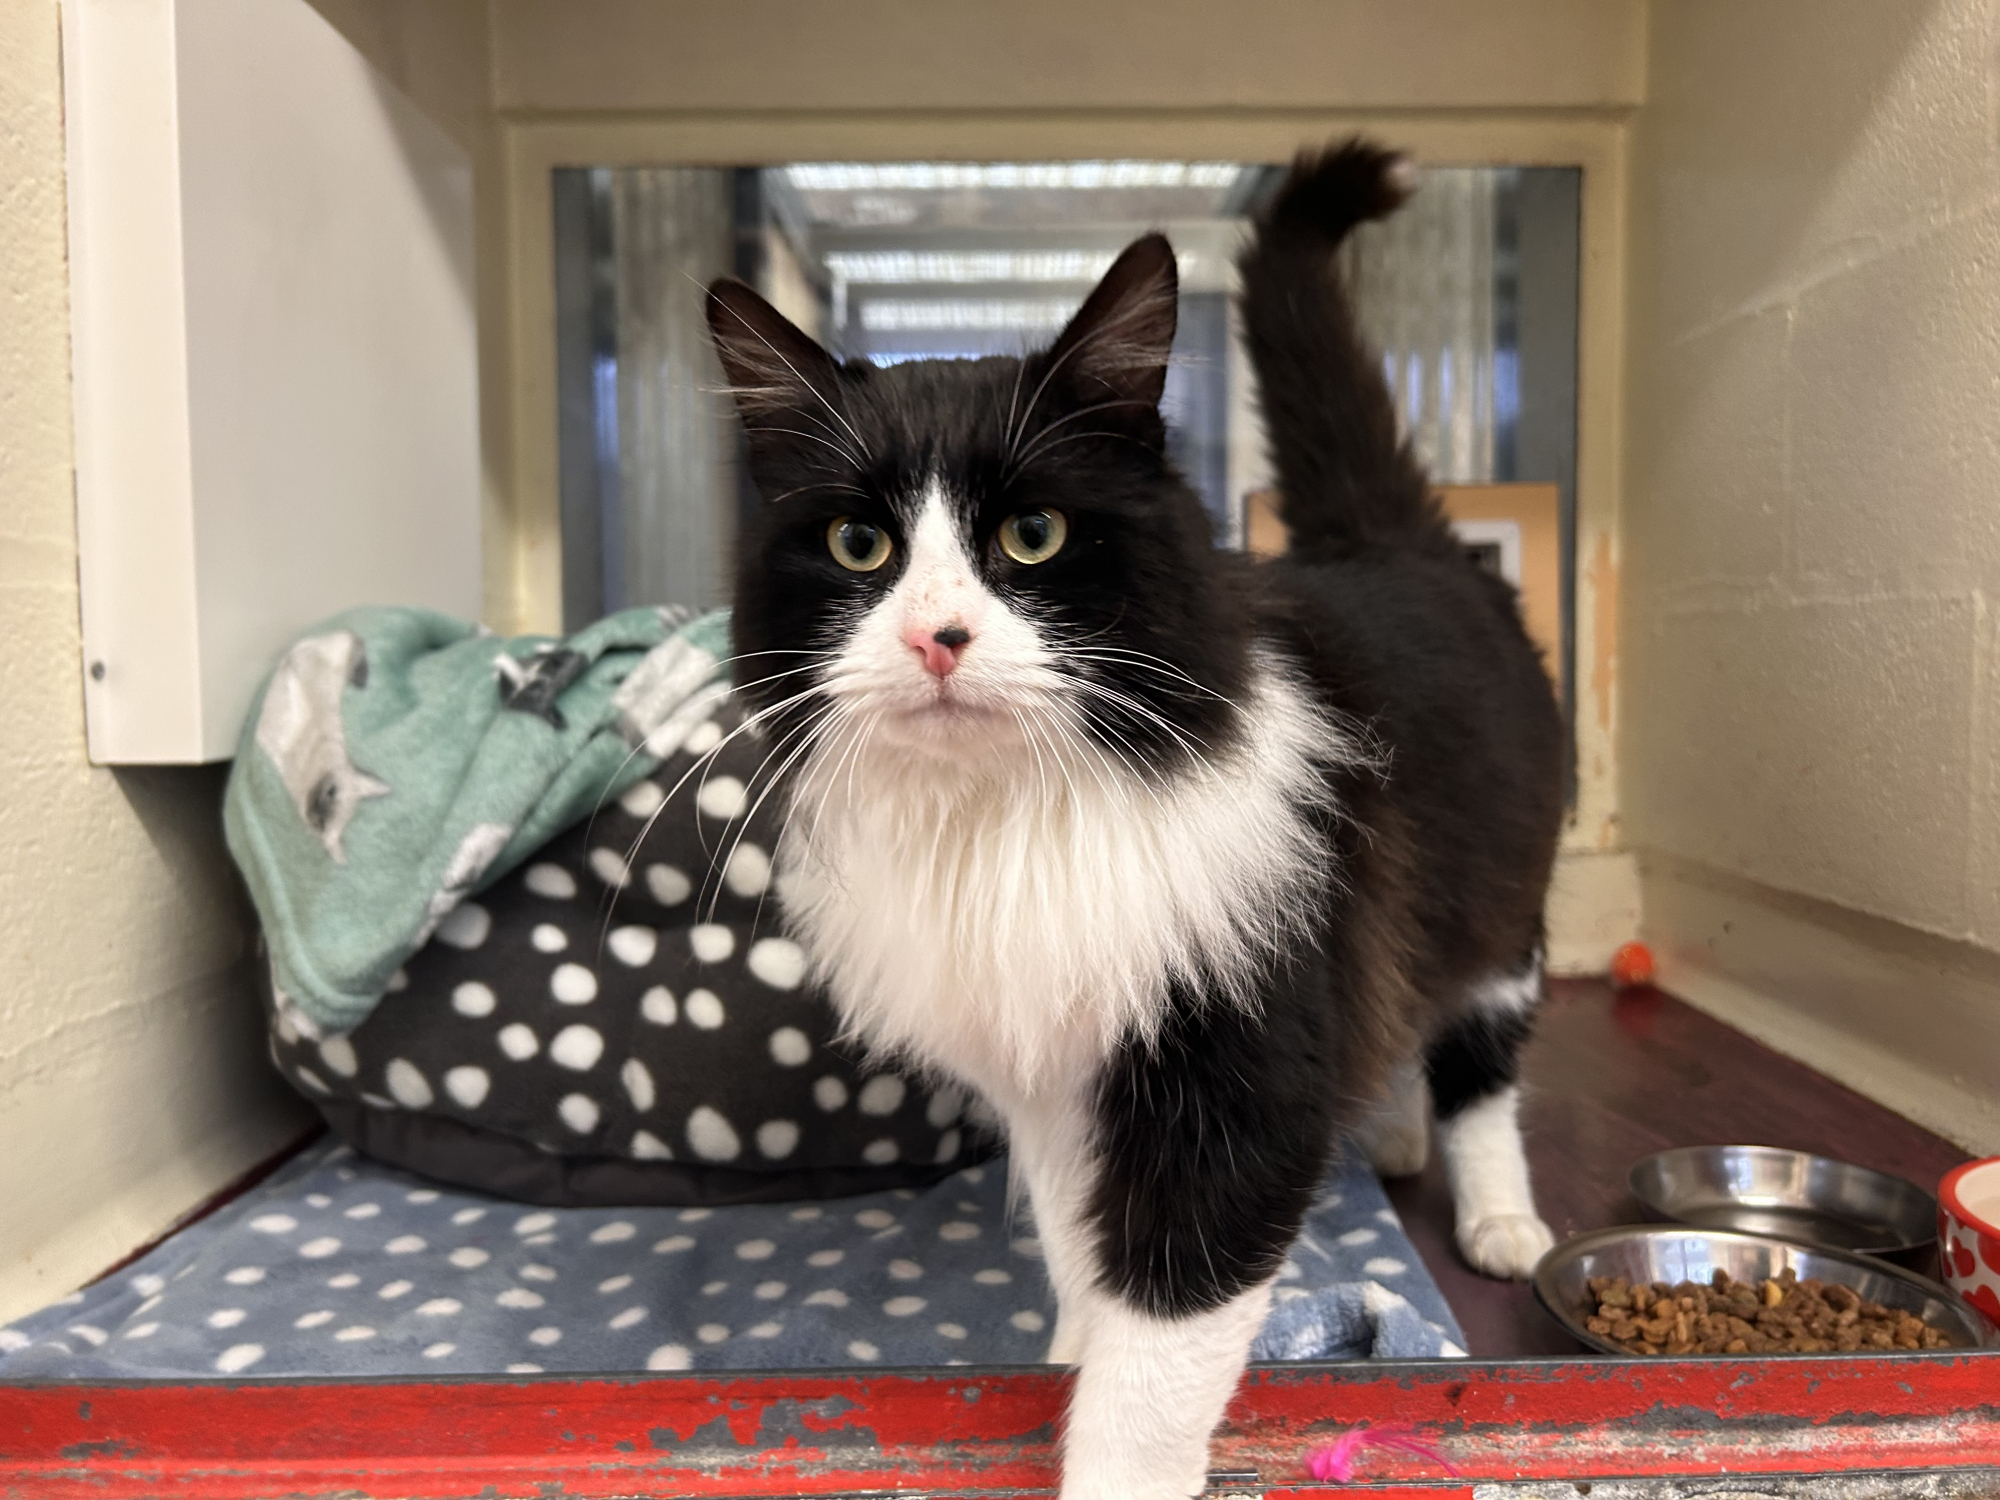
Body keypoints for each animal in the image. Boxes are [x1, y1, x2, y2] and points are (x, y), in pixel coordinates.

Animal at [704, 139, 1564, 1500]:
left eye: (1032, 534)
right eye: (856, 545)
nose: (935, 637)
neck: (1008, 817)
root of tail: (1387, 541)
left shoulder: (1234, 1085)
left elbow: (1155, 1355)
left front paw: (1106, 1437)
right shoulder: (1057, 1084)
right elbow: (1080, 1252)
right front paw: (1069, 1349)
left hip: (1504, 920)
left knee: (1480, 1071)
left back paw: (1495, 1216)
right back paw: (1389, 1135)